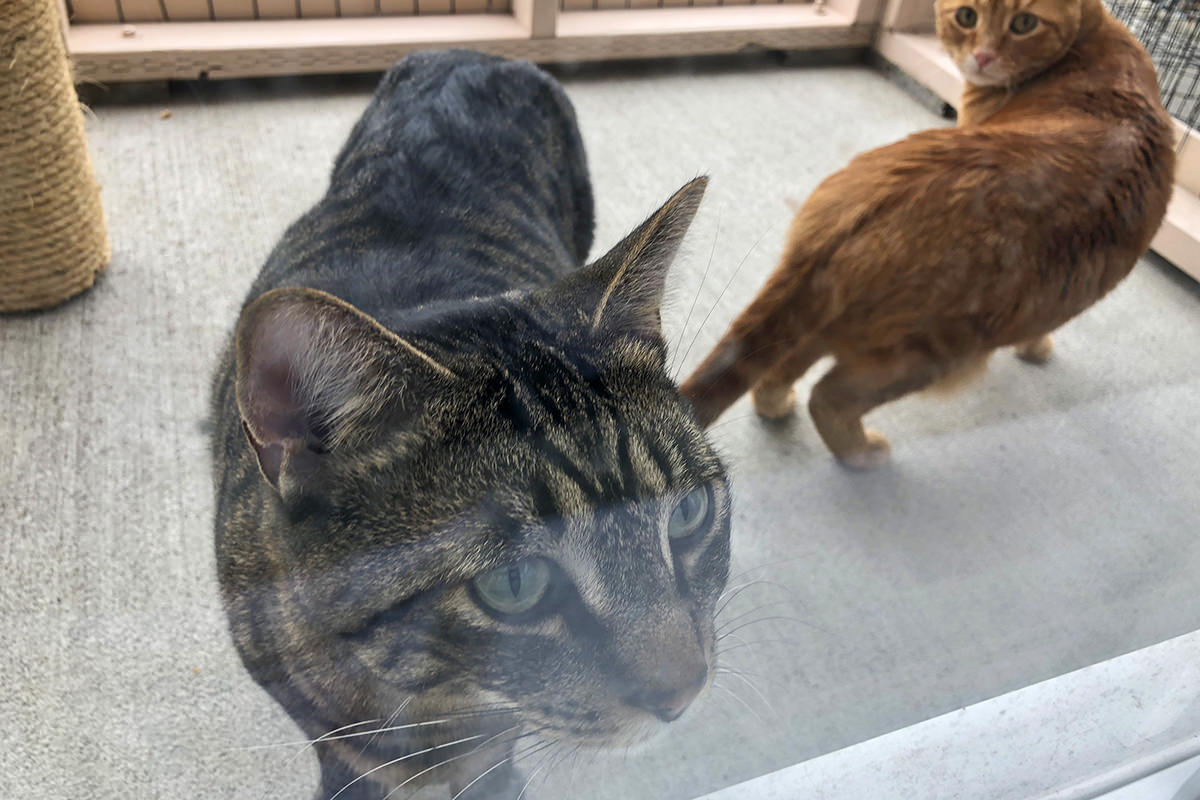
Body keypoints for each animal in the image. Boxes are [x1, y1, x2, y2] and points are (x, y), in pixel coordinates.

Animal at [681, 0, 1176, 470]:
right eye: (967, 16)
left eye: (1023, 23)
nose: (982, 56)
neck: (1098, 46)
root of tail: (864, 209)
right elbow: (1043, 328)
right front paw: (1036, 348)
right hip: (931, 354)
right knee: (827, 395)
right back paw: (863, 453)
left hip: (847, 329)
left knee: (784, 369)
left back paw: (781, 407)